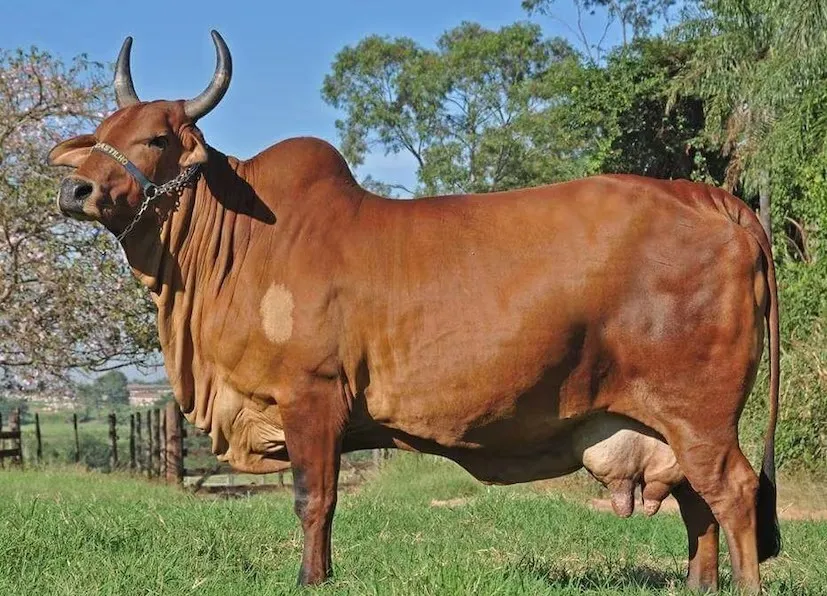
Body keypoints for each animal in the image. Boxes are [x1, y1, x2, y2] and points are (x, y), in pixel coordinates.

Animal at [48, 31, 780, 592]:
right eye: (101, 134)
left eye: (157, 139)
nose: (74, 189)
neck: (236, 246)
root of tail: (718, 204)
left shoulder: (312, 399)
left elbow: (314, 500)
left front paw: (311, 578)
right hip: (671, 425)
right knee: (697, 507)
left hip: (700, 415)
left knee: (734, 494)